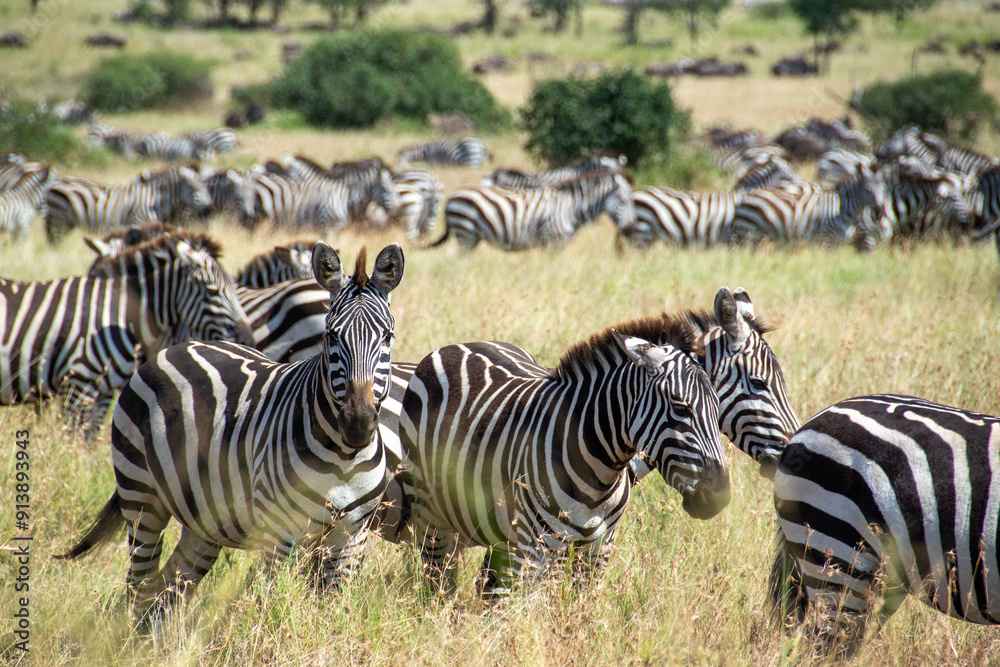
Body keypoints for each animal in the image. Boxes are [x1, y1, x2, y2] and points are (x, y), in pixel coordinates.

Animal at [1, 234, 253, 439]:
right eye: (212, 292)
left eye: (236, 288)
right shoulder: (77, 382)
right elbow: (70, 437)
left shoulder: (103, 391)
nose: (248, 339)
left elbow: (89, 439)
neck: (121, 316)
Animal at [44, 166, 213, 242]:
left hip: (65, 222)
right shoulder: (138, 222)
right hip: (59, 220)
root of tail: (55, 182)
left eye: (207, 187)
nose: (209, 210)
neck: (154, 201)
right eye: (195, 188)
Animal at [57, 242, 404, 621]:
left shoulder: (351, 538)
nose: (358, 424)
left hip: (205, 521)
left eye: (388, 337)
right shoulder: (281, 535)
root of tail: (177, 346)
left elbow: (331, 615)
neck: (344, 457)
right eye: (331, 336)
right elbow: (272, 611)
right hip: (141, 498)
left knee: (166, 593)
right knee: (139, 587)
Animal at [397, 325, 729, 597]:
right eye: (680, 407)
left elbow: (577, 617)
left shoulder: (597, 551)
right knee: (439, 583)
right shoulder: (536, 550)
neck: (599, 475)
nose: (719, 497)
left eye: (718, 408)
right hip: (432, 517)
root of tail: (457, 345)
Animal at [436, 171, 636, 251]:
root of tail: (452, 195)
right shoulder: (553, 241)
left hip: (472, 237)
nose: (630, 229)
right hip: (465, 233)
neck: (570, 208)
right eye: (624, 201)